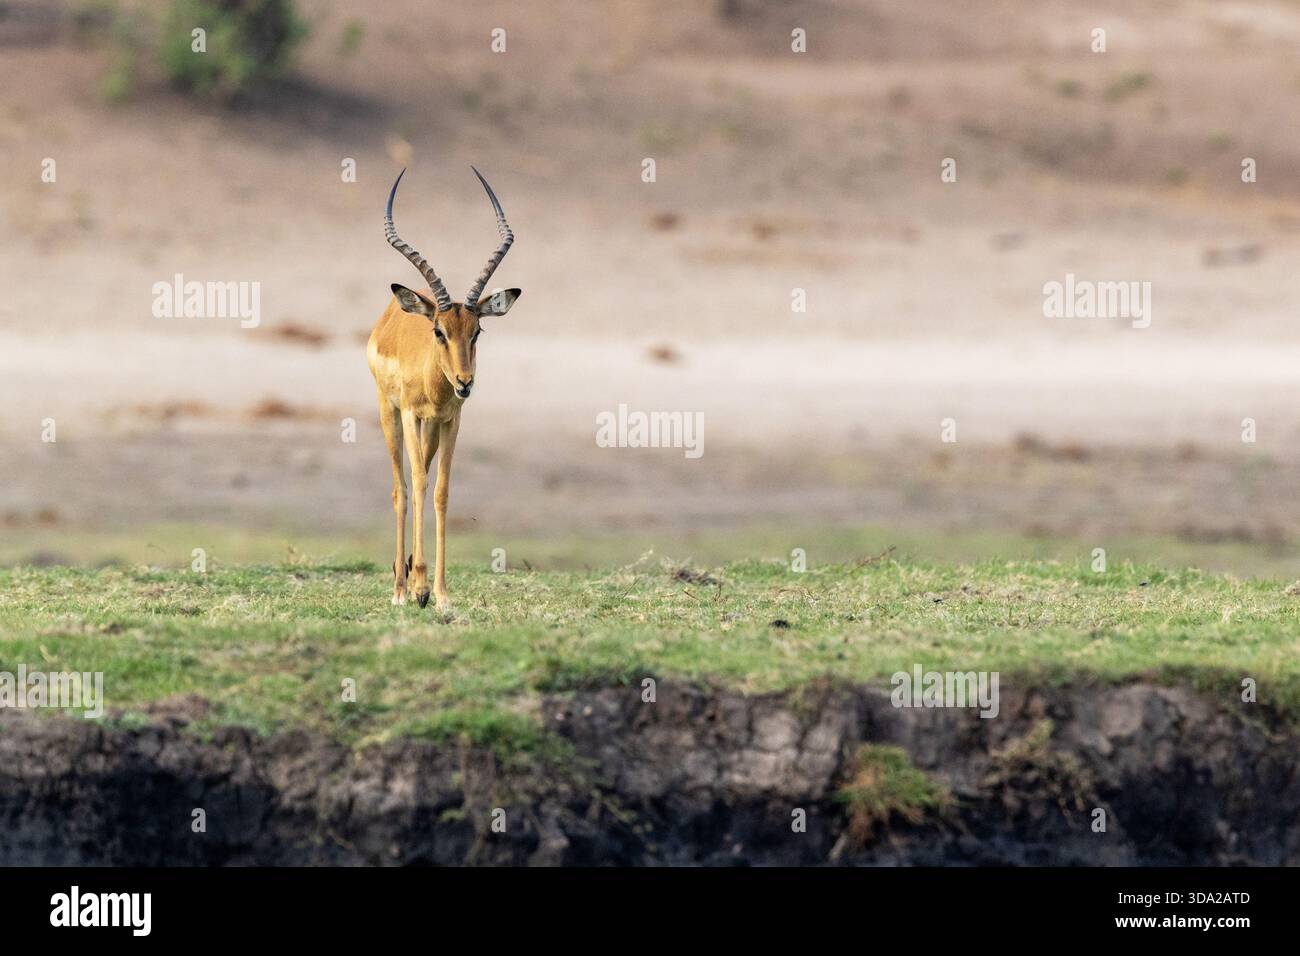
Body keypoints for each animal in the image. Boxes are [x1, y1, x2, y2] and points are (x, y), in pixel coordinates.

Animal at [367, 168, 521, 608]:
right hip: (390, 414)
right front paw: (417, 588)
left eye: (477, 331)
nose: (465, 382)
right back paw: (400, 588)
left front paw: (440, 593)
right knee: (401, 488)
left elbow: (440, 491)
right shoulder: (409, 412)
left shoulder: (451, 420)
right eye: (439, 331)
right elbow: (417, 485)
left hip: (430, 428)